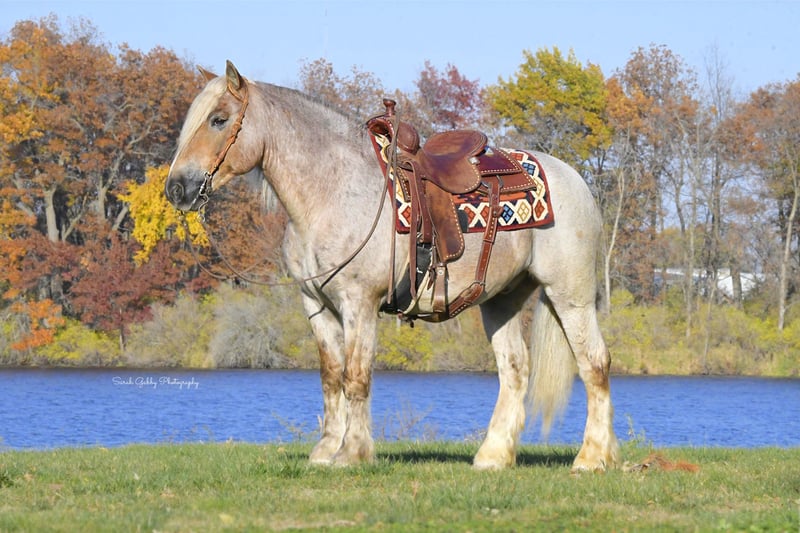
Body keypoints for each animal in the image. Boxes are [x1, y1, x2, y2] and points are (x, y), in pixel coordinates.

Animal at [165, 61, 620, 472]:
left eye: (219, 119)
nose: (177, 188)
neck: (332, 191)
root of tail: (574, 179)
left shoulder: (359, 303)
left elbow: (356, 376)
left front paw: (352, 454)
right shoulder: (316, 305)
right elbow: (331, 376)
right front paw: (325, 451)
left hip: (571, 297)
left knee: (594, 363)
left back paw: (592, 458)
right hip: (501, 301)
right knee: (514, 371)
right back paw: (492, 458)